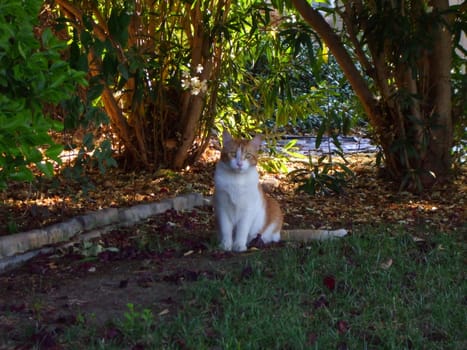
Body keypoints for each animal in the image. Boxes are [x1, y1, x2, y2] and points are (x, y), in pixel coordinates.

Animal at [215, 131, 348, 252]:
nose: (239, 164)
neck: (237, 180)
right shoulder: (222, 207)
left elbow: (242, 229)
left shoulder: (247, 210)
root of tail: (279, 232)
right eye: (233, 154)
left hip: (273, 206)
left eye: (247, 155)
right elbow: (226, 230)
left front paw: (239, 245)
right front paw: (225, 245)